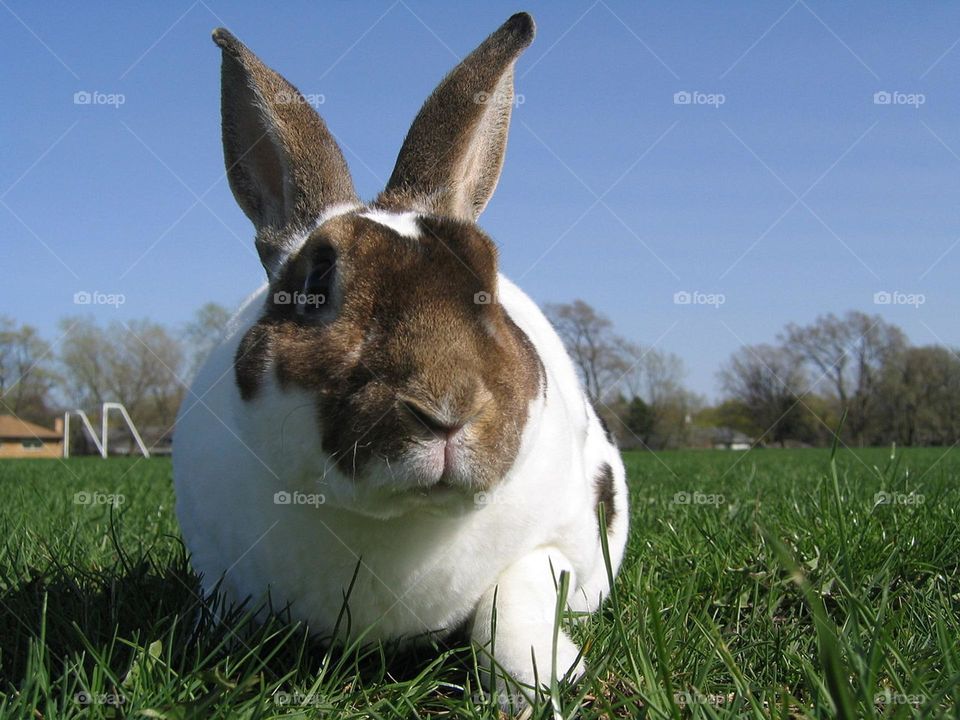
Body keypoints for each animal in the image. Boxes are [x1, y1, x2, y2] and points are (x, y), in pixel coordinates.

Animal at [173, 11, 629, 702]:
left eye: (490, 283)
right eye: (316, 283)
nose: (446, 411)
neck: (399, 519)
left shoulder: (557, 548)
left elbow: (510, 599)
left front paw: (540, 682)